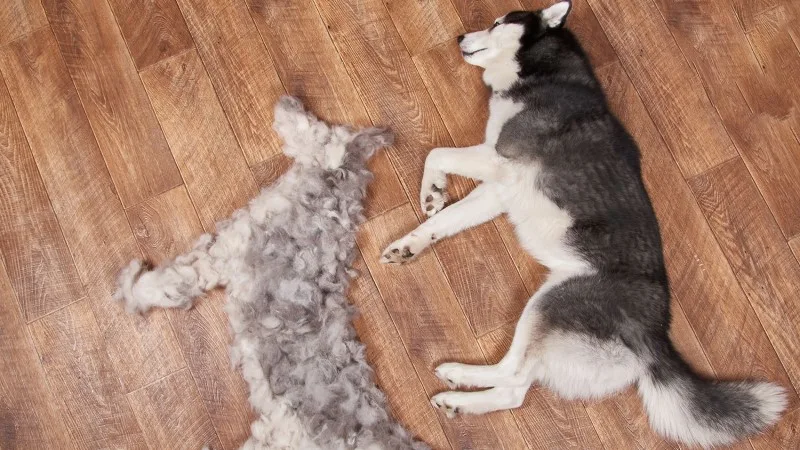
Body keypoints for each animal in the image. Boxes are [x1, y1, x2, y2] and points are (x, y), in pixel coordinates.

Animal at [382, 2, 788, 446]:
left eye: (498, 22)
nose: (459, 38)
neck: (545, 72)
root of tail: (655, 337)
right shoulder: (499, 189)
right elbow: (447, 217)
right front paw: (412, 241)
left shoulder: (501, 158)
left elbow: (436, 153)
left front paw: (431, 189)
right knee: (514, 389)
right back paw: (460, 393)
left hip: (551, 303)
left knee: (513, 376)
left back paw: (459, 381)